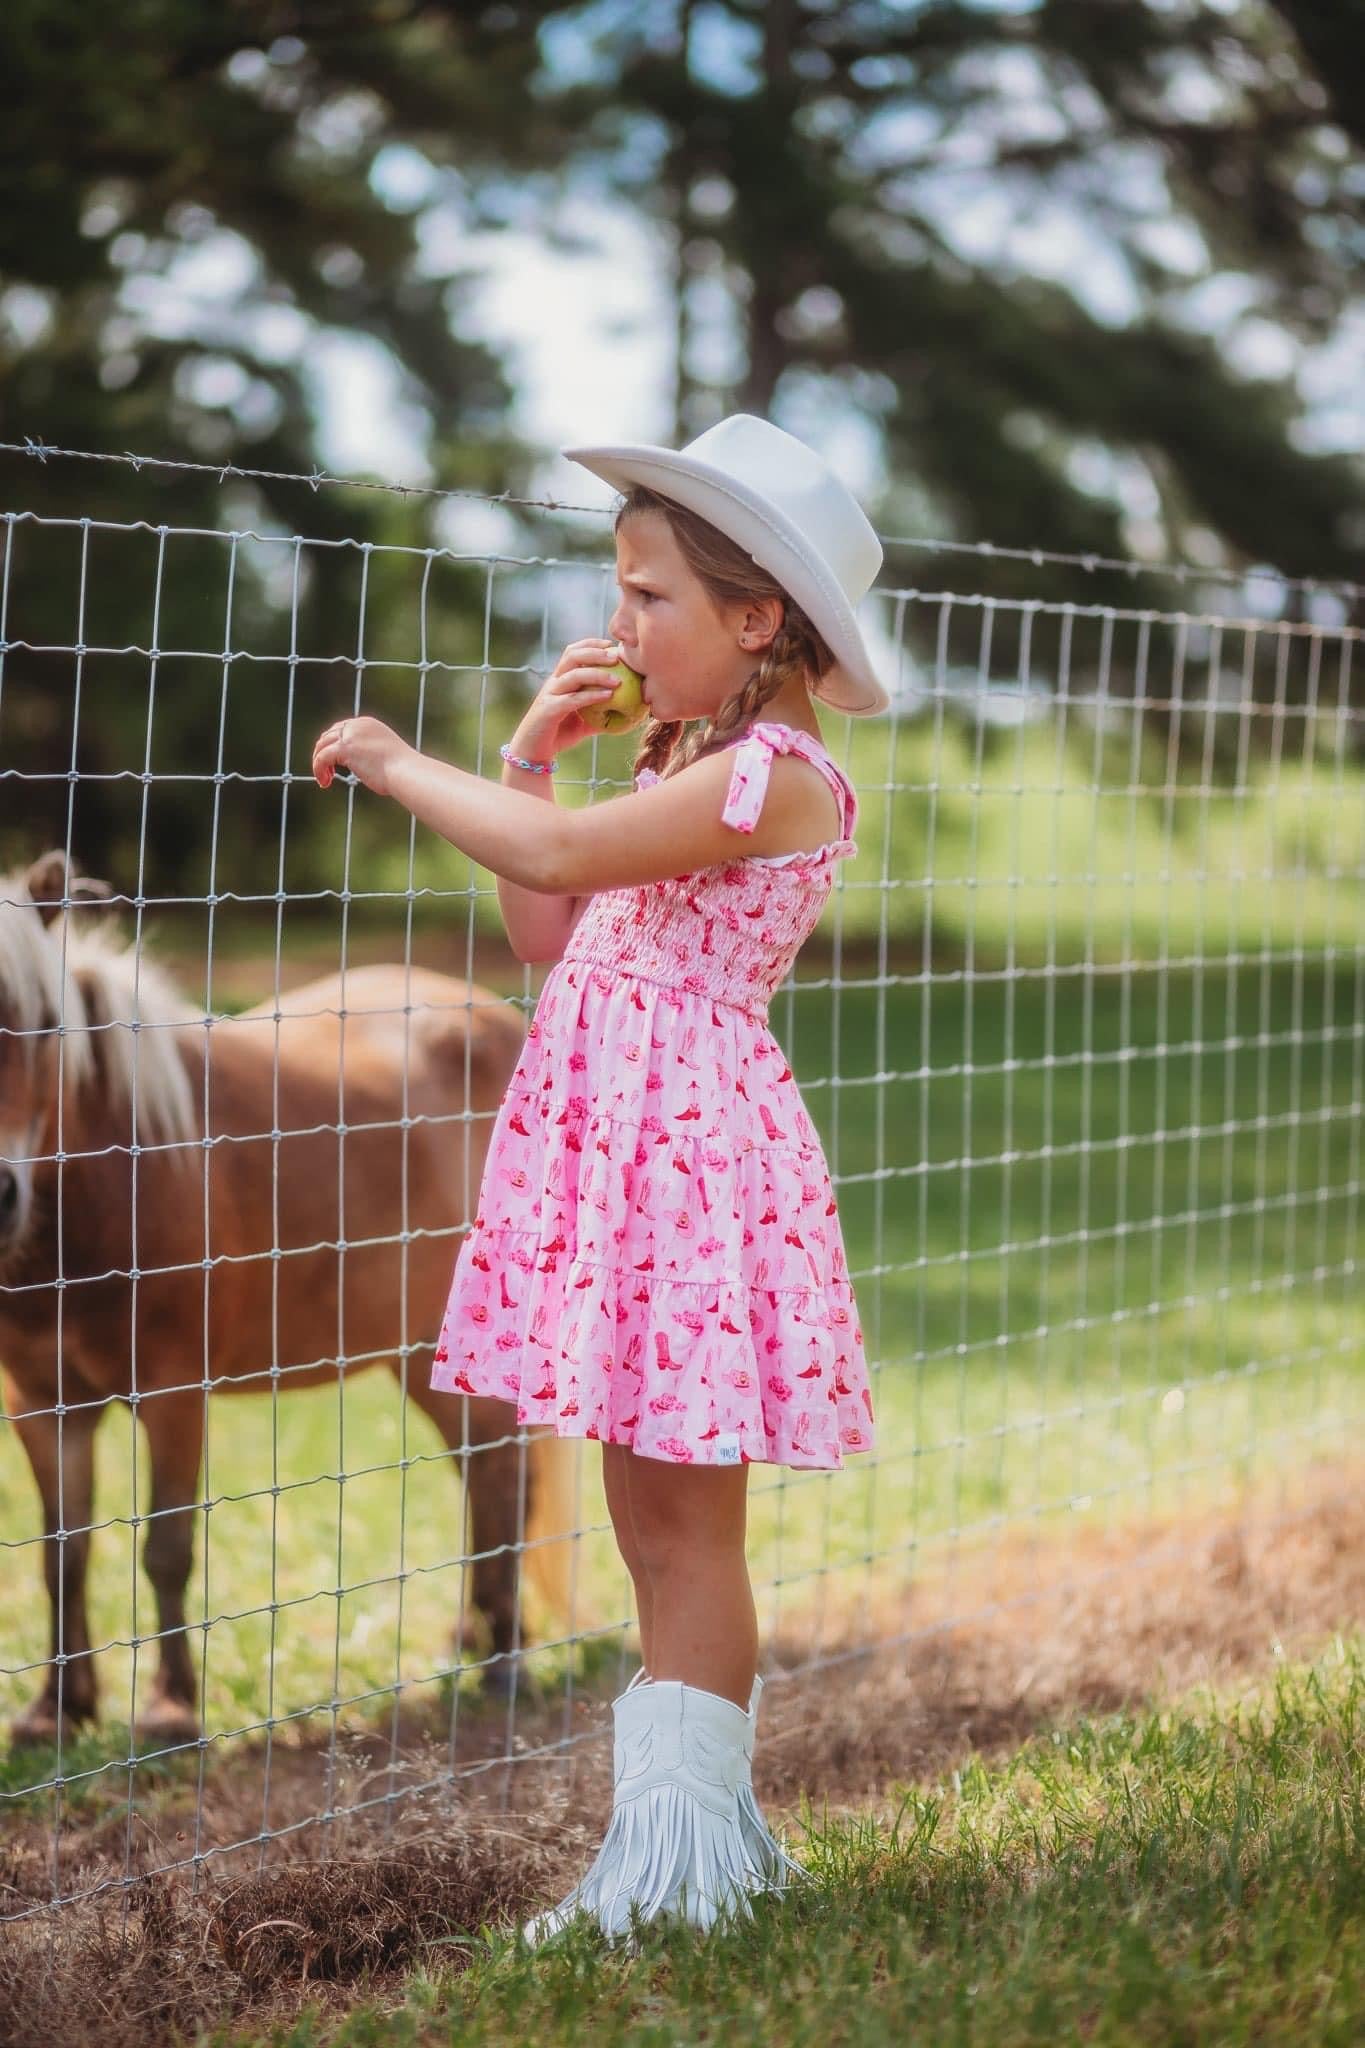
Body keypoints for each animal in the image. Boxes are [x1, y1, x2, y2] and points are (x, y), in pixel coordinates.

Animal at [0, 851, 577, 1744]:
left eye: (38, 1025)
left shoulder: (173, 1396)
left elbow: (165, 1548)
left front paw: (169, 1708)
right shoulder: (41, 1406)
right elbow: (63, 1552)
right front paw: (57, 1710)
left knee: (503, 1480)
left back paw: (504, 1659)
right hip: (419, 1352)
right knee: (483, 1477)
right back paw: (474, 1636)